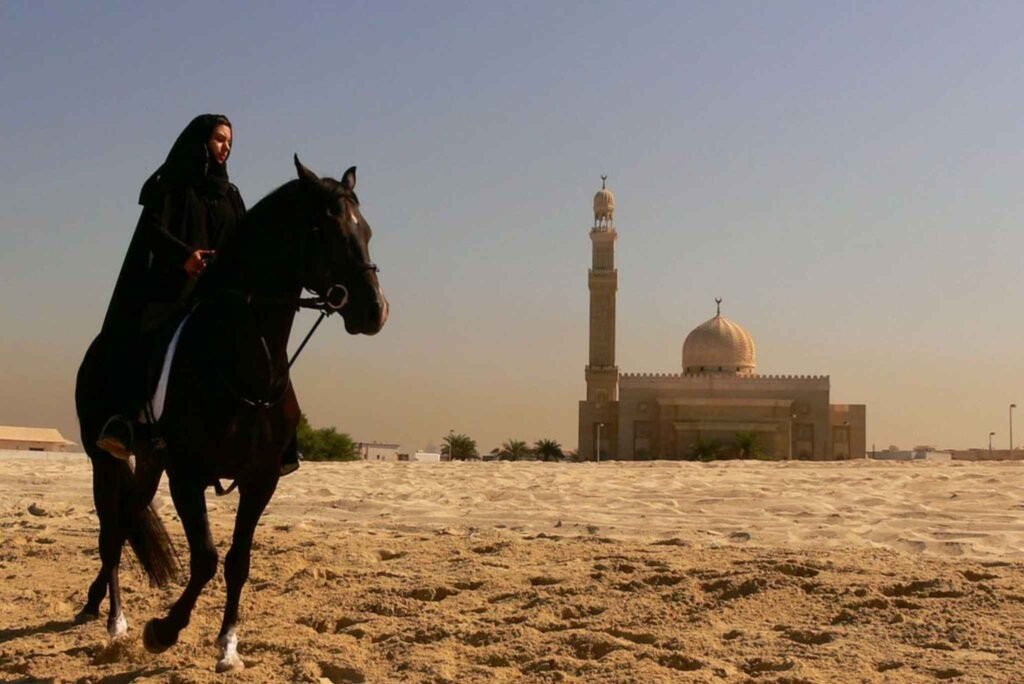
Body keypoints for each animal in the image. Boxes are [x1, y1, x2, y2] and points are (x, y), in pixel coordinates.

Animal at [73, 156, 387, 671]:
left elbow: (239, 560)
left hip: (149, 462)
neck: (245, 362)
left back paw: (96, 603)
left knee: (128, 519)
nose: (375, 311)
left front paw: (229, 645)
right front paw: (161, 631)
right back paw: (116, 621)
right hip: (105, 458)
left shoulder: (261, 479)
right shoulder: (186, 474)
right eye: (327, 230)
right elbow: (205, 557)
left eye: (366, 231)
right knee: (112, 528)